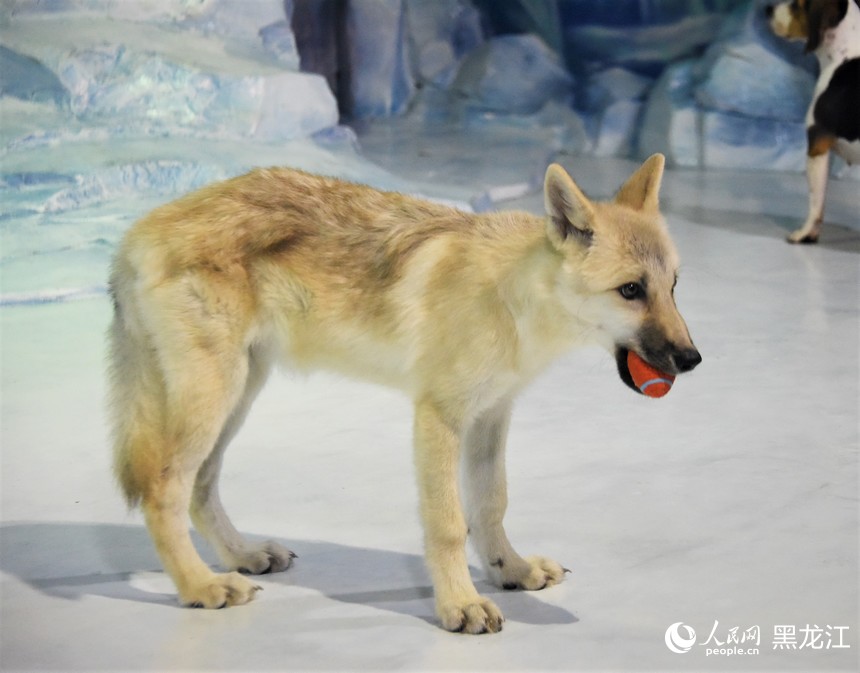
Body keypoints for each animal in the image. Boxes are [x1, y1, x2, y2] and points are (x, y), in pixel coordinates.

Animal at [106, 155, 700, 632]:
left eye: (672, 286)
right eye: (630, 290)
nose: (692, 360)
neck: (511, 299)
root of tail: (138, 230)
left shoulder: (492, 416)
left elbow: (491, 504)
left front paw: (511, 571)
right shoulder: (438, 418)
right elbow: (448, 526)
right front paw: (460, 605)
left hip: (237, 399)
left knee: (201, 487)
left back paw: (241, 556)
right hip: (214, 399)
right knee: (164, 490)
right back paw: (201, 587)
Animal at [764, 0, 860, 242]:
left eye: (797, 5)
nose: (767, 9)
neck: (843, 54)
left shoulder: (817, 147)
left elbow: (816, 202)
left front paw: (804, 233)